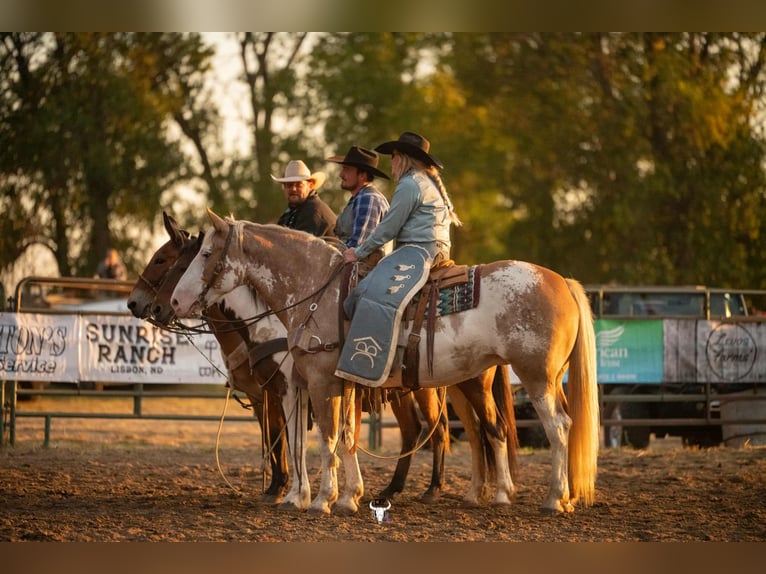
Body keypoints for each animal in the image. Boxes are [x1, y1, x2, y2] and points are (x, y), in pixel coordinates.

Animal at [173, 210, 577, 515]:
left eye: (205, 254)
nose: (174, 303)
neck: (316, 290)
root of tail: (561, 281)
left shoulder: (316, 381)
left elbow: (324, 437)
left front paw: (319, 500)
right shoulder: (339, 383)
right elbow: (345, 437)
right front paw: (347, 498)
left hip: (535, 377)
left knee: (554, 427)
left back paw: (554, 499)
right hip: (501, 381)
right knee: (503, 429)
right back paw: (518, 494)